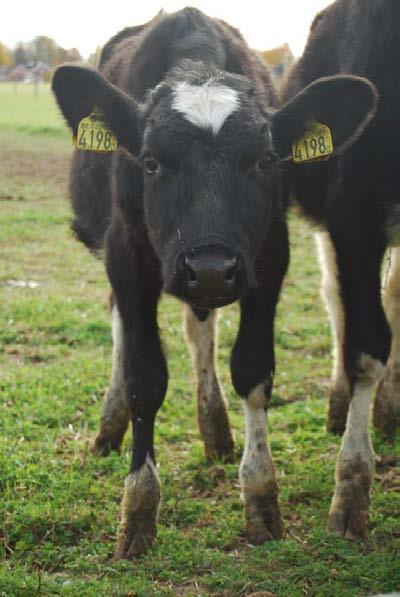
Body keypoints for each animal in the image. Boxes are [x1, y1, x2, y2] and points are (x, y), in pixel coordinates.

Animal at [52, 7, 378, 556]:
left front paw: (261, 499)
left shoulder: (268, 257)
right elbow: (144, 378)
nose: (207, 268)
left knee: (199, 331)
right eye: (150, 162)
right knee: (123, 329)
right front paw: (138, 510)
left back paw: (215, 428)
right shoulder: (125, 255)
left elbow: (252, 370)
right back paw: (110, 427)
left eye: (265, 161)